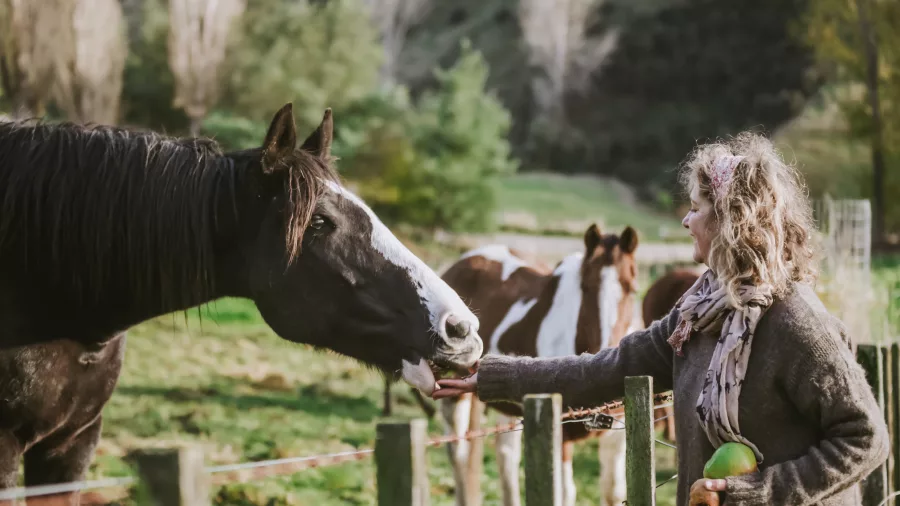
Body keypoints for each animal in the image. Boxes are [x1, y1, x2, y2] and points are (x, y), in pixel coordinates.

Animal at [438, 224, 640, 506]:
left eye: (632, 288)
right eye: (585, 287)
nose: (607, 351)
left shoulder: (617, 436)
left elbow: (614, 491)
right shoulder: (559, 432)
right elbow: (564, 493)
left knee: (506, 456)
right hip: (456, 400)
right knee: (459, 454)